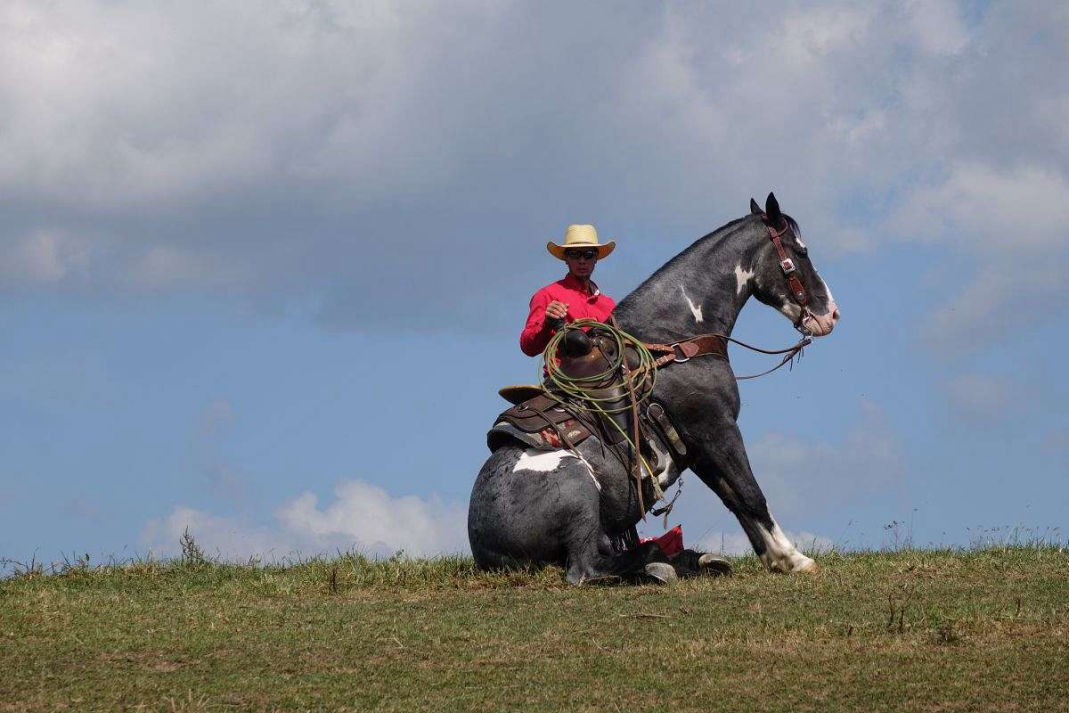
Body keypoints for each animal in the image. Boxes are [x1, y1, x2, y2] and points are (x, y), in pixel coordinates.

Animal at [468, 194, 840, 584]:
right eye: (801, 251)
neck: (675, 340)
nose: (830, 313)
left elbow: (733, 498)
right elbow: (751, 493)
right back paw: (659, 565)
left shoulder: (694, 446)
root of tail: (486, 548)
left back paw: (693, 559)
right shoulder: (715, 427)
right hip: (578, 492)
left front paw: (773, 558)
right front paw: (793, 558)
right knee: (585, 569)